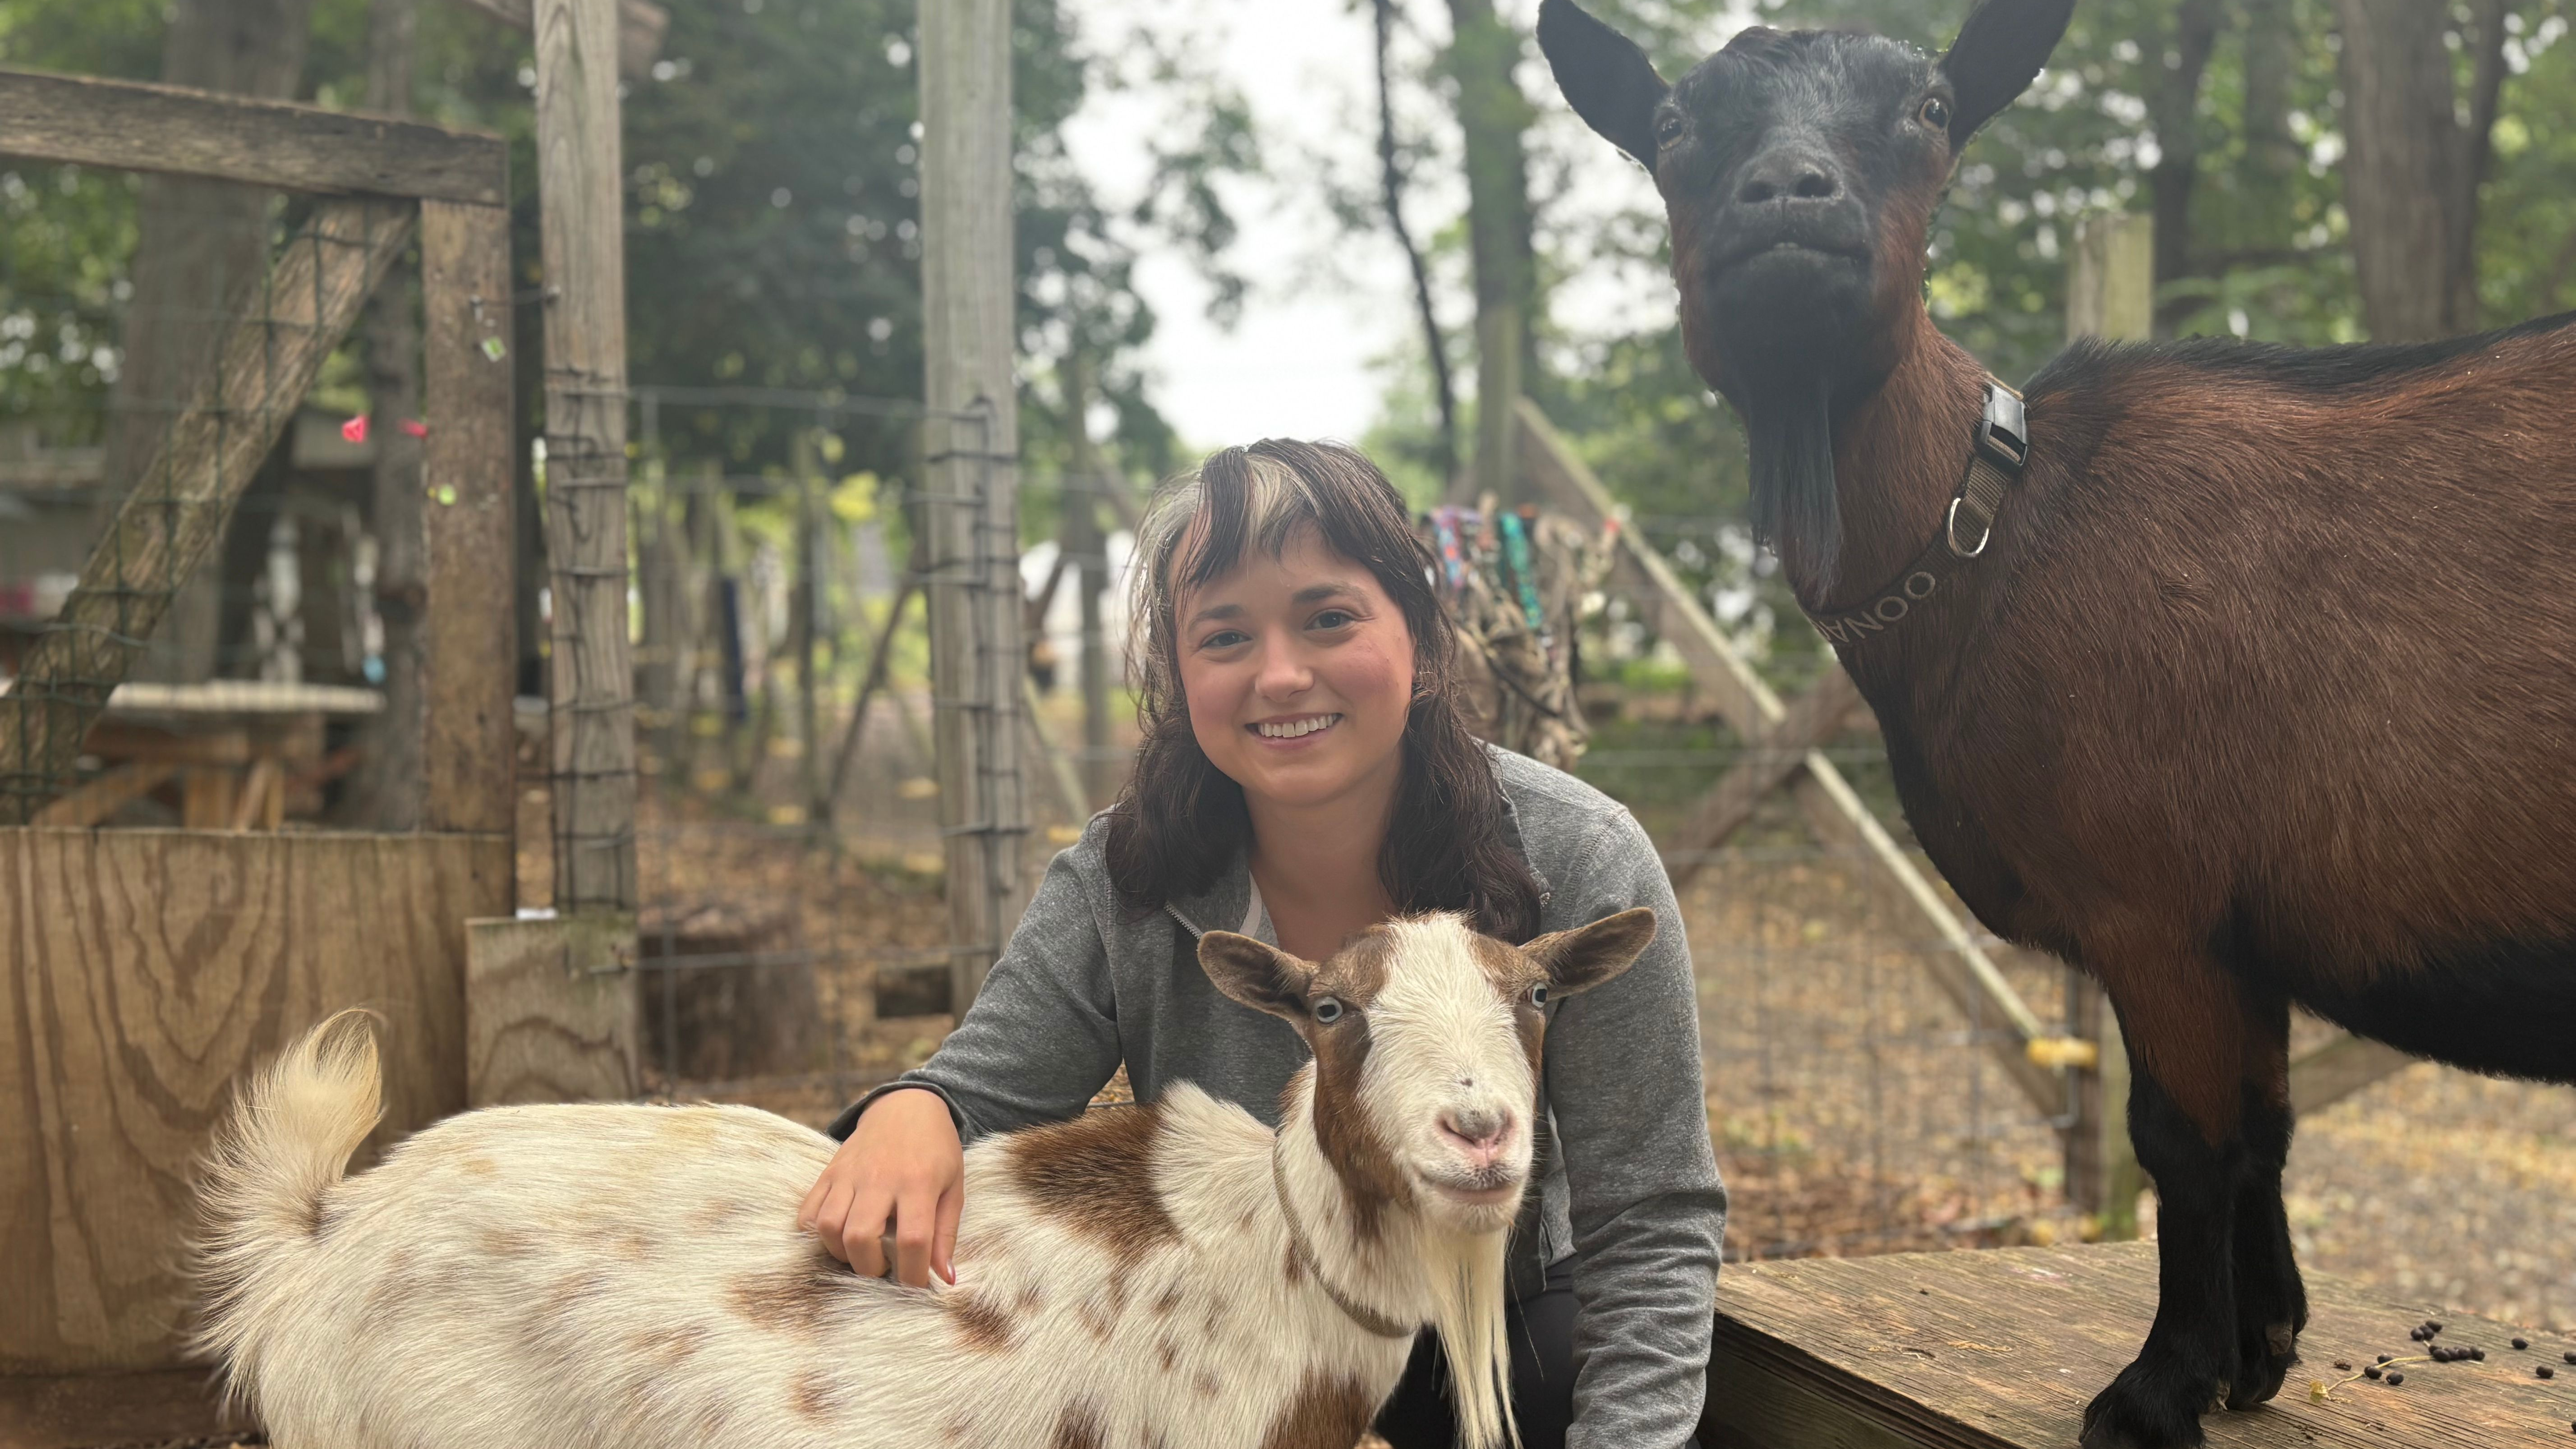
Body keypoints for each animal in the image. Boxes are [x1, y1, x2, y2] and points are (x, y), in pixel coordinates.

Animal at [1536, 1, 2576, 1445]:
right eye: (1676, 123)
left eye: (1928, 108)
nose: (1791, 194)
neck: (2007, 533)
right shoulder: (2238, 924)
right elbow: (2263, 1124)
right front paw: (2259, 1352)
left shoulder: (2156, 903)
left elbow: (2183, 1139)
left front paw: (2154, 1392)